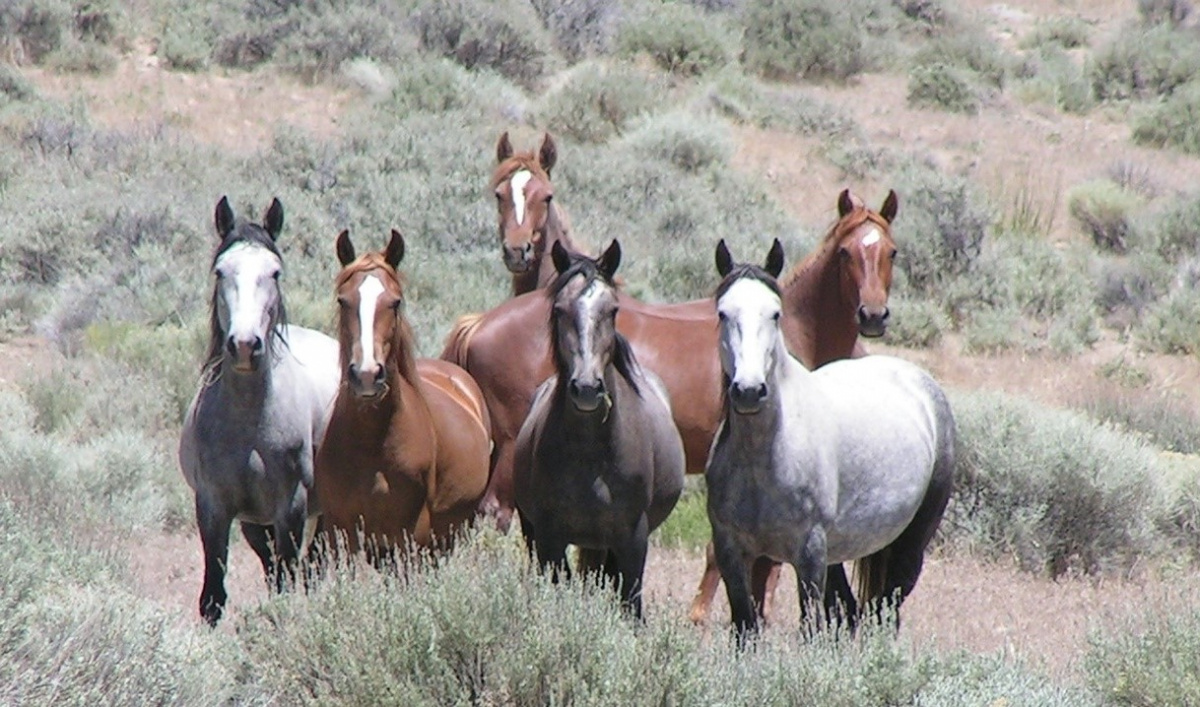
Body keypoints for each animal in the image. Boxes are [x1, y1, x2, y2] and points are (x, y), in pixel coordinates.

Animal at [176, 196, 338, 624]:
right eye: (220, 271)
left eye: (274, 272)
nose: (245, 345)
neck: (248, 422)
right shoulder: (214, 507)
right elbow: (213, 598)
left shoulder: (291, 508)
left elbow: (286, 584)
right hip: (254, 524)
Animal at [316, 229, 494, 559]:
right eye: (343, 301)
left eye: (395, 302)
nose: (367, 374)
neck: (371, 443)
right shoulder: (340, 534)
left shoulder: (412, 537)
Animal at [513, 240, 686, 614]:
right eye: (559, 310)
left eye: (613, 310)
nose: (587, 388)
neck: (591, 453)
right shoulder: (549, 537)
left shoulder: (632, 539)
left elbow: (632, 606)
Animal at [700, 238, 955, 638]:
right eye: (724, 313)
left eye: (775, 314)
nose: (749, 391)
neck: (766, 457)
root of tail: (920, 382)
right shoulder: (731, 551)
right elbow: (746, 627)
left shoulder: (809, 553)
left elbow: (810, 628)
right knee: (852, 612)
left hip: (909, 545)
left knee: (884, 612)